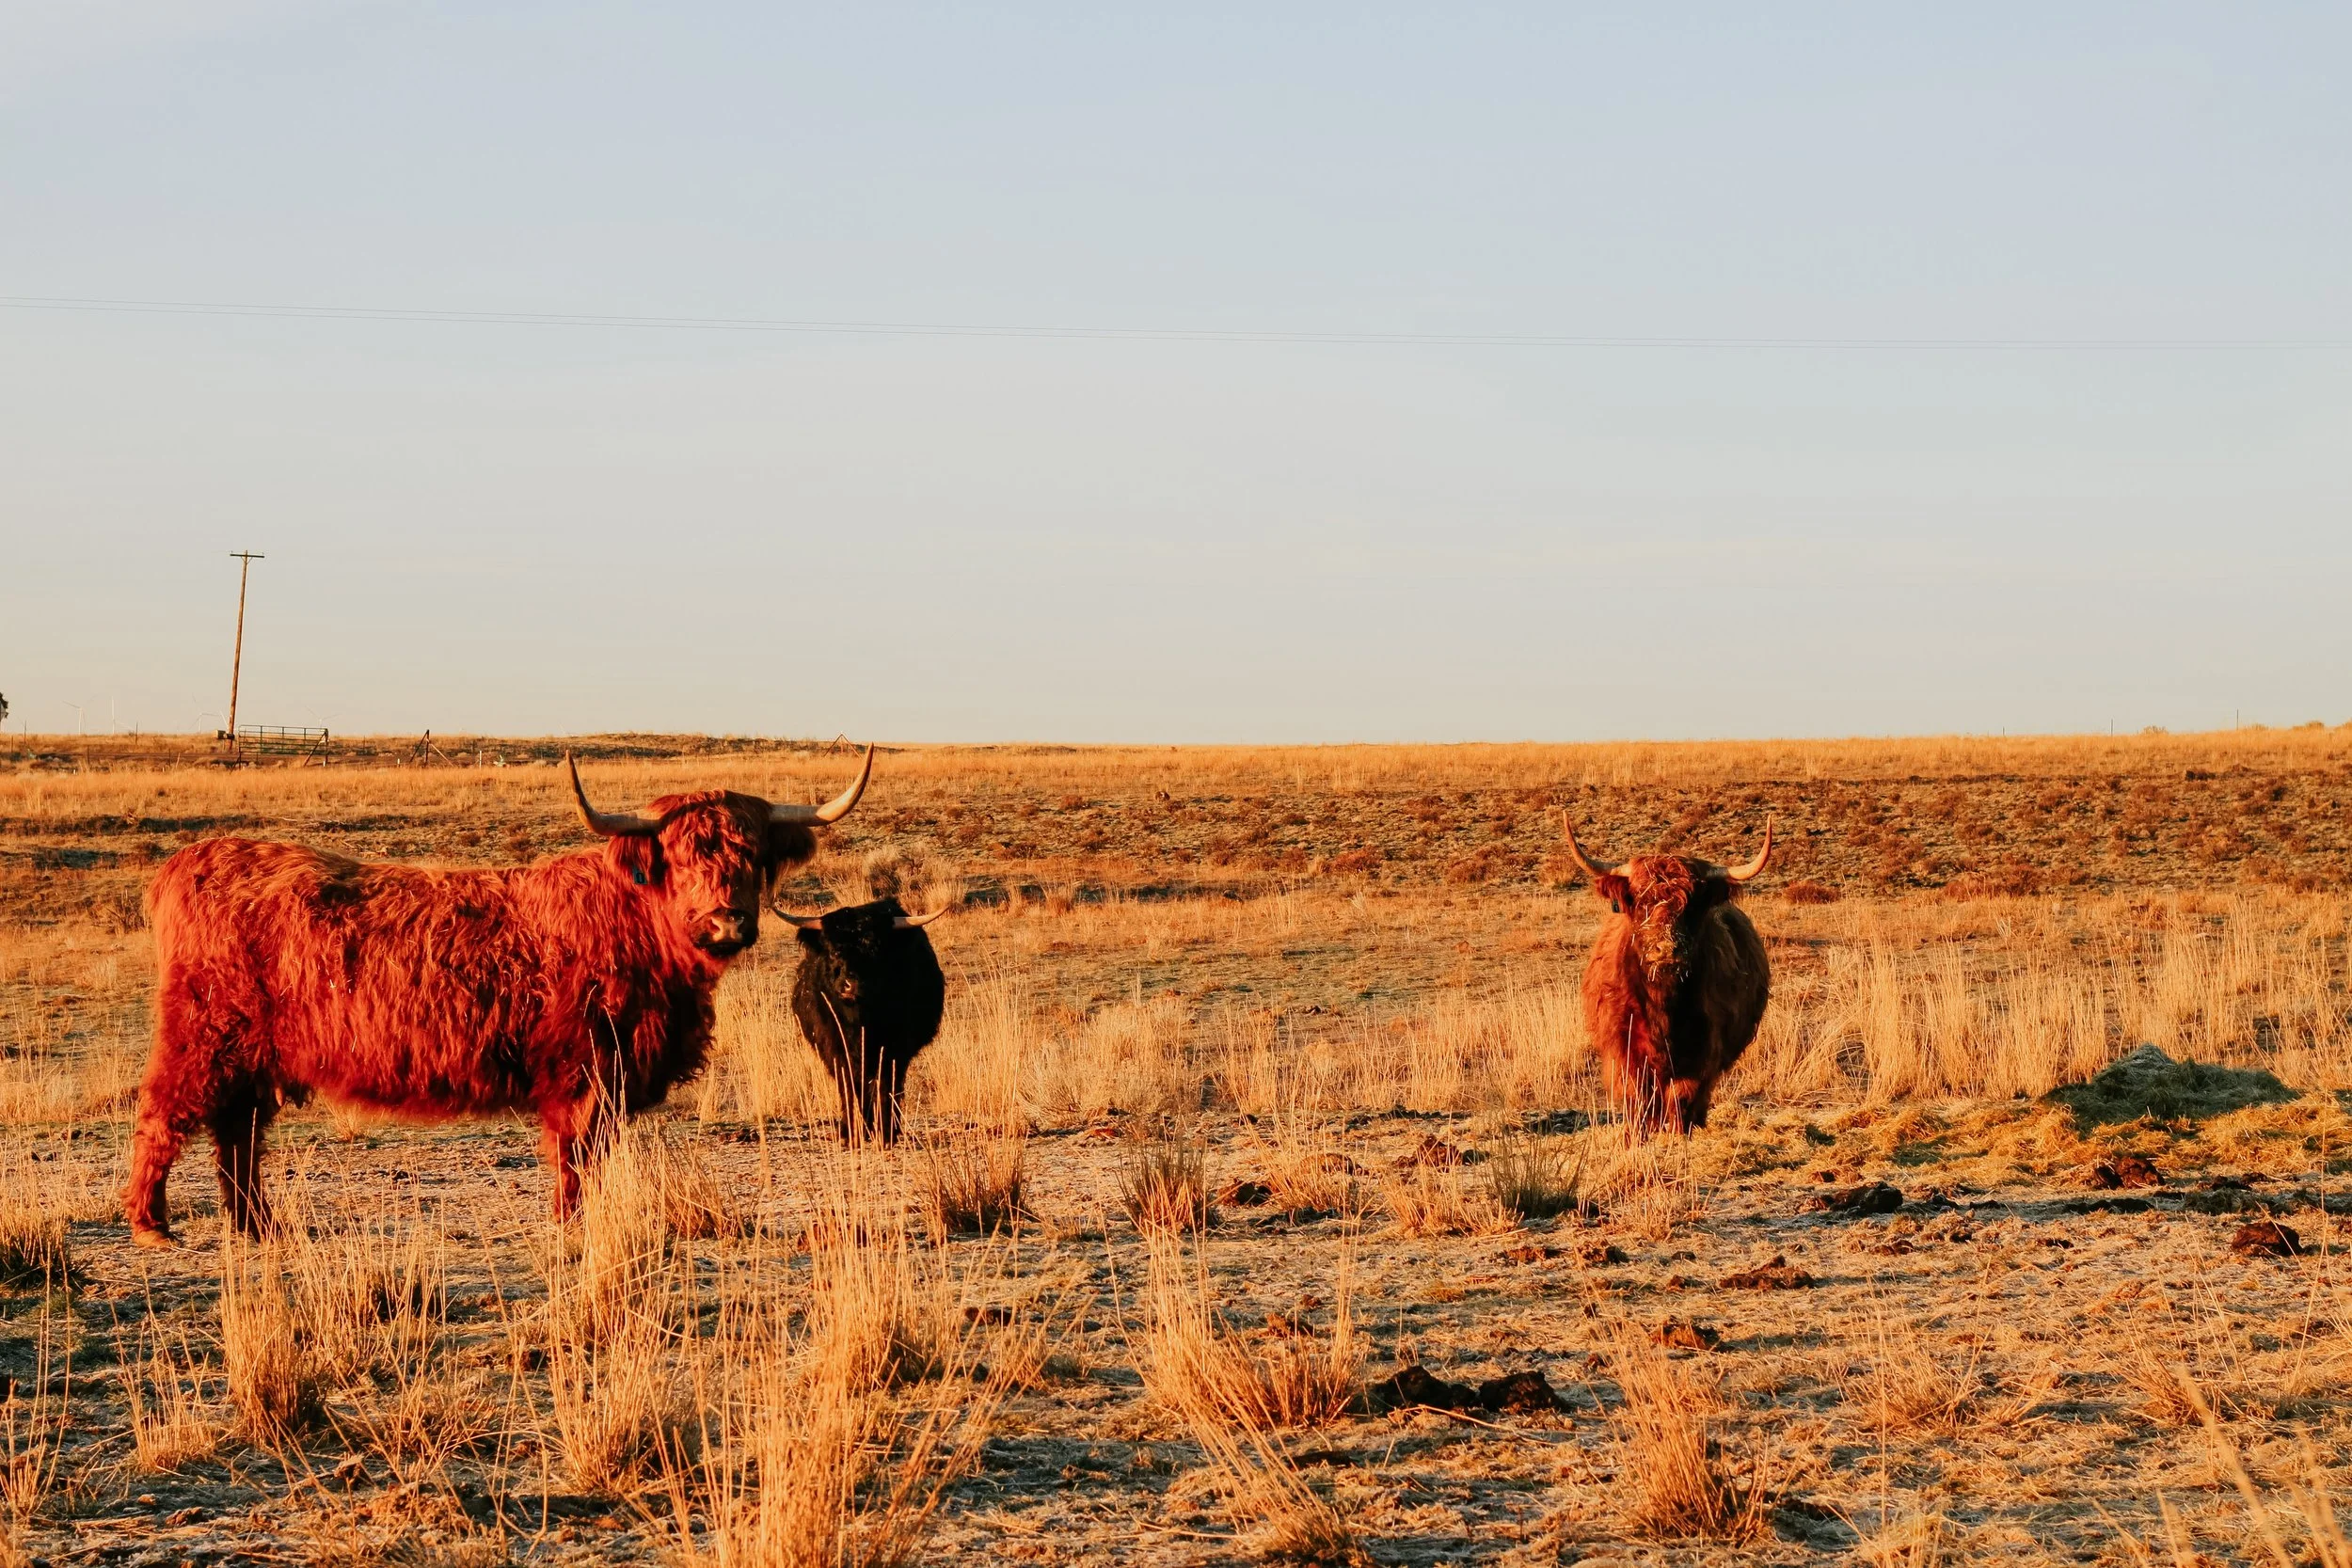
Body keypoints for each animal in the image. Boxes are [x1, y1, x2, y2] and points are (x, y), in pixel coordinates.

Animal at [121, 748, 876, 1247]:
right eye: (685, 857)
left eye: (751, 857)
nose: (727, 923)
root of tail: (193, 859)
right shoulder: (584, 1070)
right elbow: (575, 1153)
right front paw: (572, 1222)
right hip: (201, 1036)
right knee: (167, 1112)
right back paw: (153, 1224)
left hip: (250, 1054)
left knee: (238, 1132)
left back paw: (257, 1227)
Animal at [776, 896, 948, 1144]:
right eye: (833, 951)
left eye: (874, 950)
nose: (850, 985)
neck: (860, 1021)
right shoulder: (837, 1049)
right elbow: (850, 1087)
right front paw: (853, 1132)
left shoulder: (894, 1049)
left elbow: (887, 1086)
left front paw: (886, 1133)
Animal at [1561, 819, 1772, 1135]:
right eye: (1640, 902)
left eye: (1692, 906)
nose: (1666, 949)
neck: (1662, 1003)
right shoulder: (1625, 1050)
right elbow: (1638, 1100)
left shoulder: (1702, 1054)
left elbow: (1682, 1100)